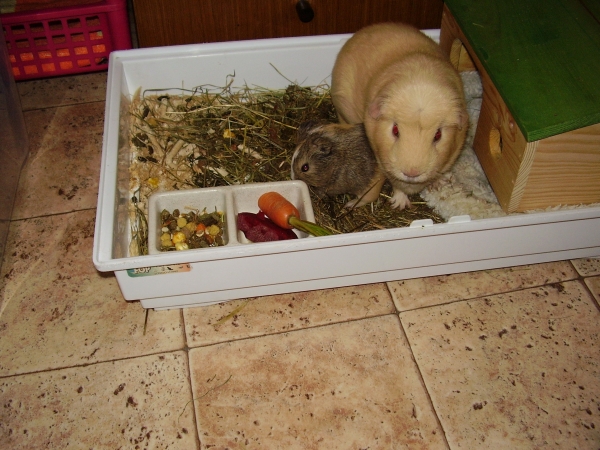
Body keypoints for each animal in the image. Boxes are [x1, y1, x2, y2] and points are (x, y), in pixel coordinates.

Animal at [331, 22, 468, 210]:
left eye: (438, 135)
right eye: (395, 130)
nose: (412, 172)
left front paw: (438, 184)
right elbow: (397, 185)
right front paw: (400, 204)